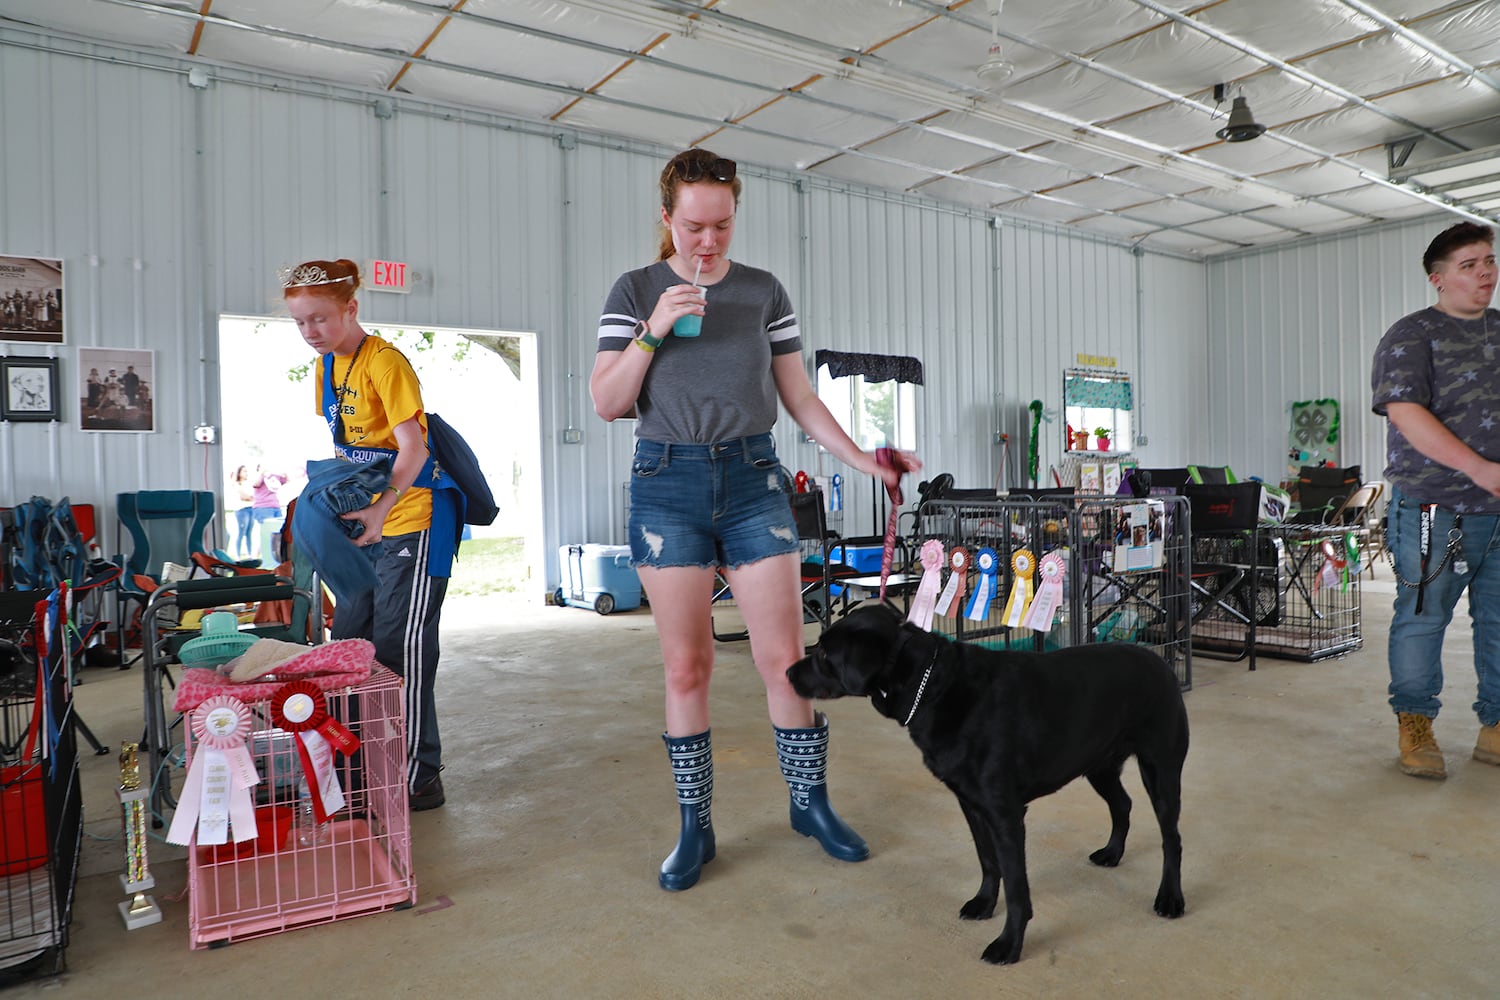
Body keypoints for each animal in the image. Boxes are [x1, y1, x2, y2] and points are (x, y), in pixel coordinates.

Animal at [786, 605, 1182, 965]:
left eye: (825, 654)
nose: (787, 672)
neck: (932, 685)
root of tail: (1161, 661)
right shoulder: (971, 803)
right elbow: (988, 862)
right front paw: (984, 903)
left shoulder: (1005, 814)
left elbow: (1017, 888)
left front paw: (1009, 944)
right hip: (1098, 764)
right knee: (1122, 804)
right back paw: (1113, 853)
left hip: (1161, 770)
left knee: (1171, 839)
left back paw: (1170, 898)